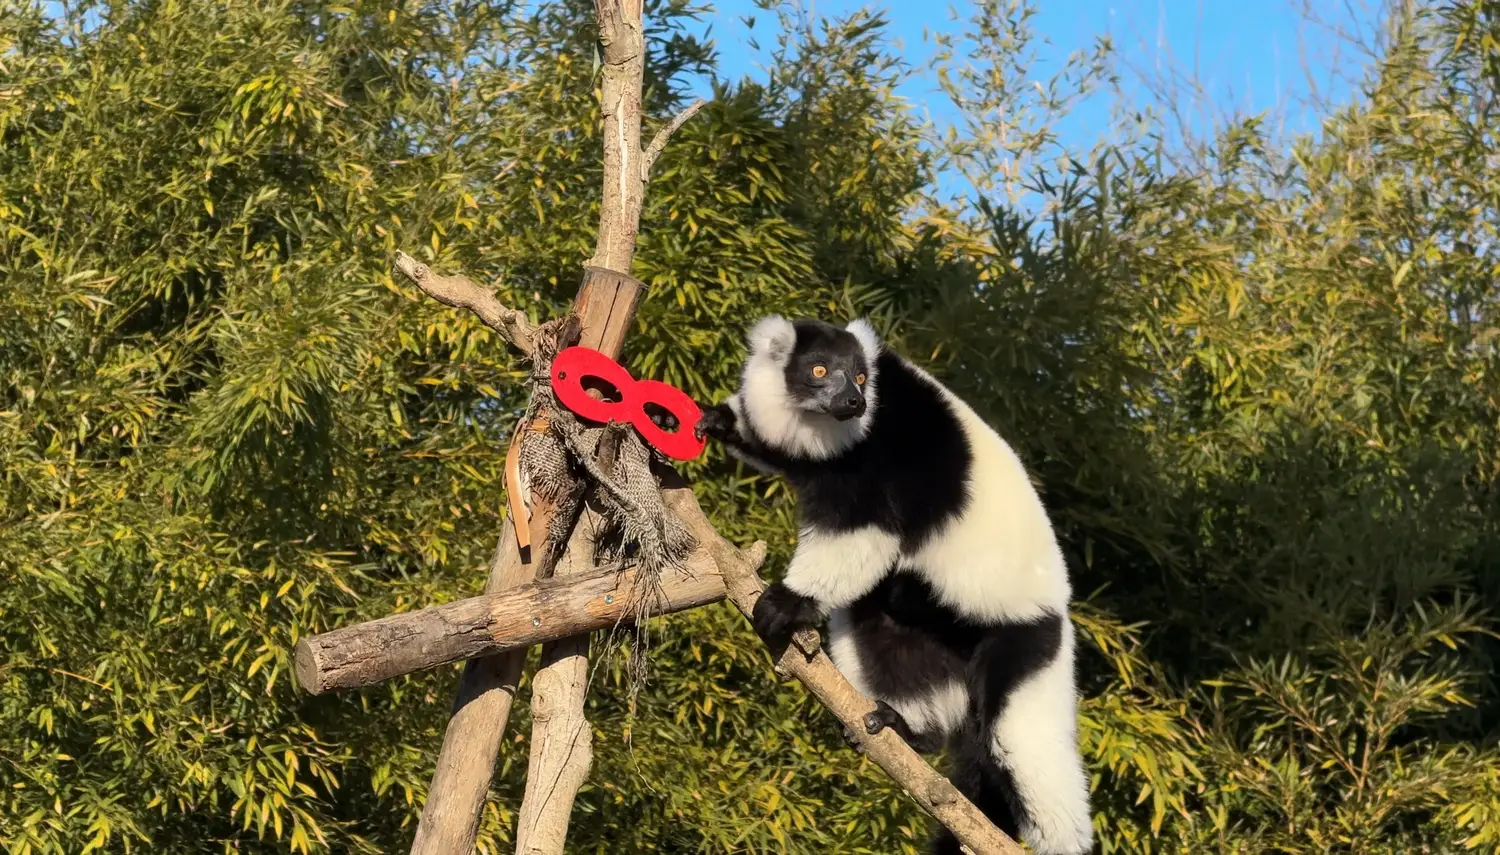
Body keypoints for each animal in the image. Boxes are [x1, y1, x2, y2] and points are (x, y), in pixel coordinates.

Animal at [693, 315, 1092, 855]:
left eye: (861, 377)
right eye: (820, 370)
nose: (853, 402)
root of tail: (1058, 614)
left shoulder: (884, 458)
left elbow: (865, 530)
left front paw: (788, 601)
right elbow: (775, 448)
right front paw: (712, 418)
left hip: (1029, 643)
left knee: (1019, 743)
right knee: (877, 625)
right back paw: (909, 733)